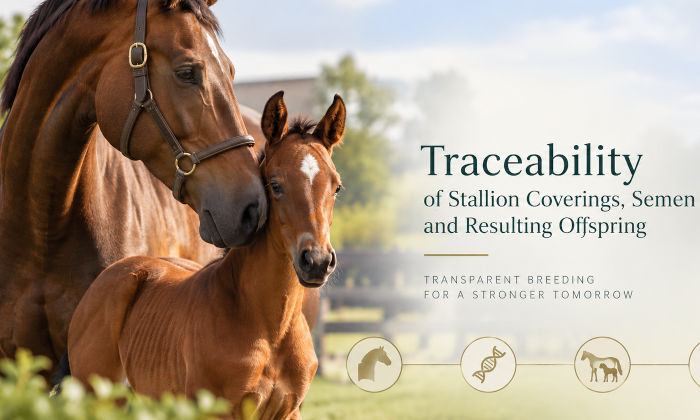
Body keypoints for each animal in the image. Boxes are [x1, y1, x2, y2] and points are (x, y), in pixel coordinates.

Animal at [68, 91, 345, 419]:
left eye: (336, 187)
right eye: (275, 185)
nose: (317, 261)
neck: (271, 330)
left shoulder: (289, 411)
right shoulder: (215, 409)